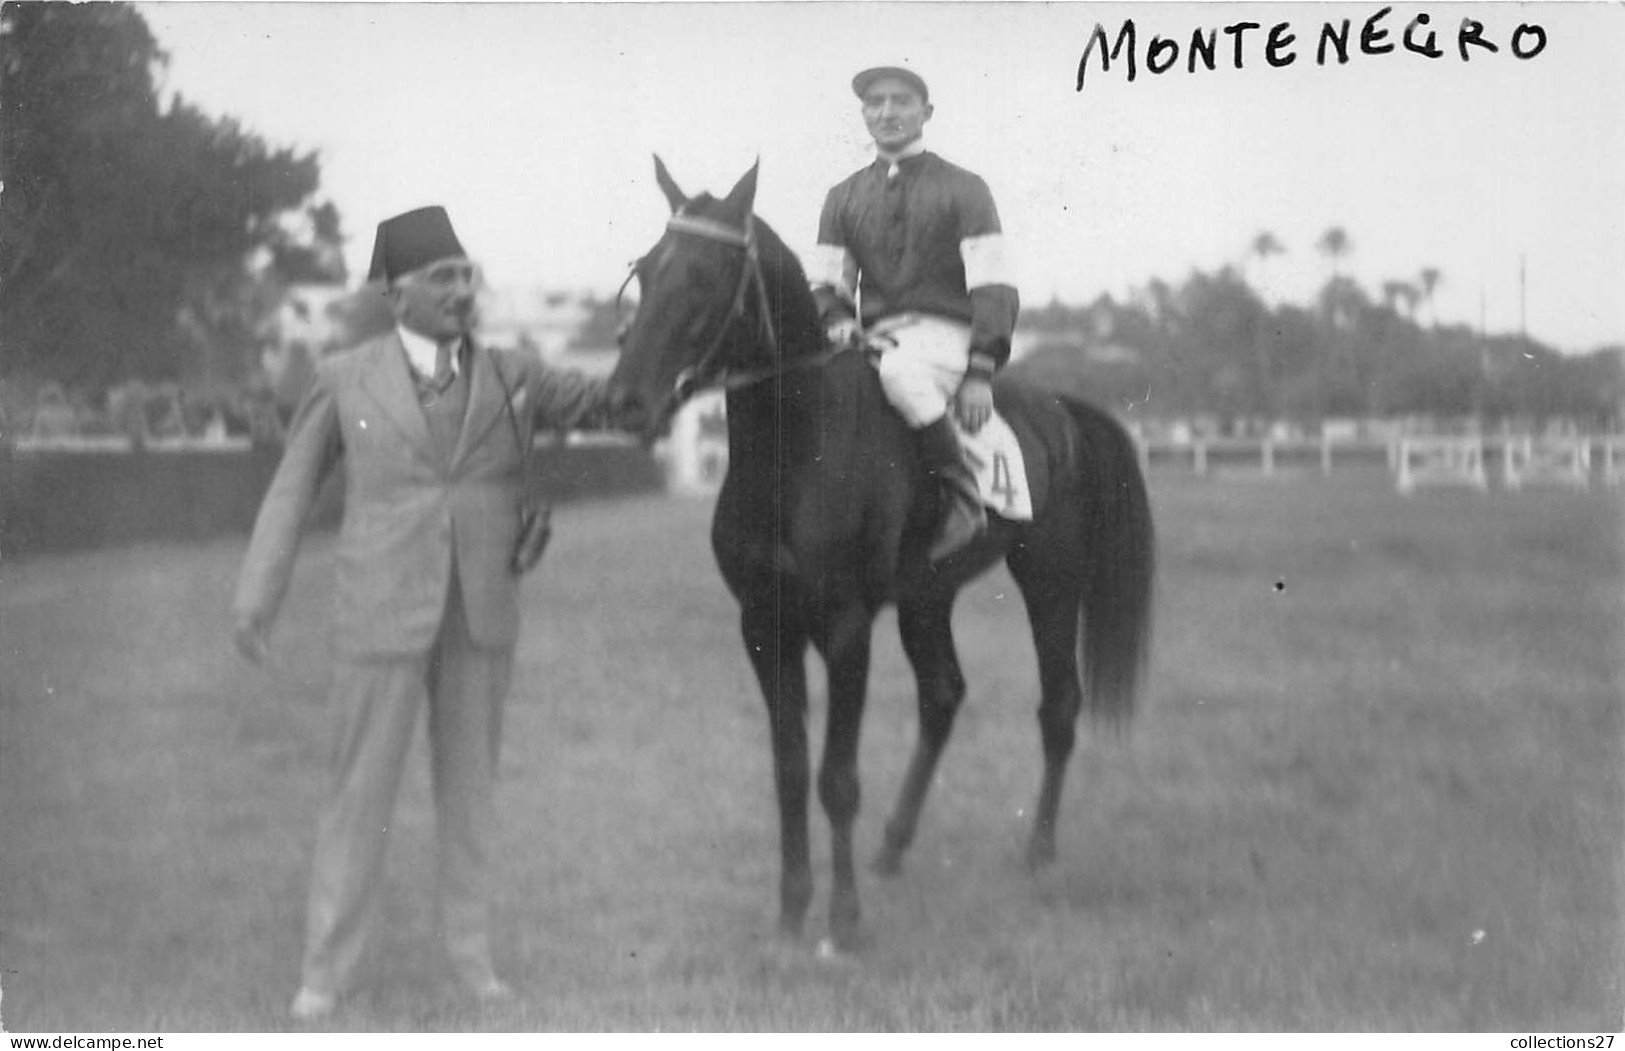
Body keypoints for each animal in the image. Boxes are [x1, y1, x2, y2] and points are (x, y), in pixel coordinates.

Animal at [611, 158, 1157, 955]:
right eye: (648, 269)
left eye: (707, 276)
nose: (623, 400)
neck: (798, 450)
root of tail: (1060, 406)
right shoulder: (762, 624)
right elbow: (789, 769)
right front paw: (791, 908)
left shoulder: (846, 628)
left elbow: (836, 778)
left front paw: (842, 919)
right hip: (928, 597)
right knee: (943, 696)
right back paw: (895, 844)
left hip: (1049, 581)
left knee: (1057, 706)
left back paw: (1038, 850)